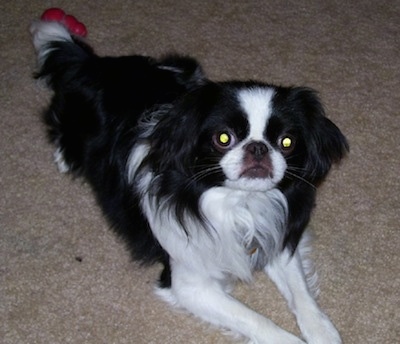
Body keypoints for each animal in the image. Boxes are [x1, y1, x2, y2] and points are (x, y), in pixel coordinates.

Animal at [31, 17, 348, 344]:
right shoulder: (190, 285)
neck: (241, 204)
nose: (258, 148)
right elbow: (257, 320)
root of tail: (94, 65)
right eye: (223, 138)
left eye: (286, 142)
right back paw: (64, 158)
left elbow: (302, 293)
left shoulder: (276, 235)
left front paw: (322, 331)